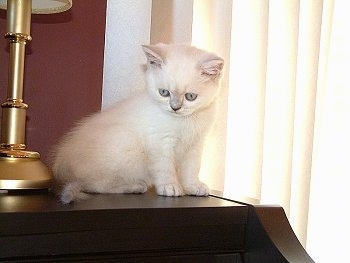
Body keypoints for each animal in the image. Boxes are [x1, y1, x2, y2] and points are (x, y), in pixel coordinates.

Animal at [52, 43, 224, 204]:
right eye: (164, 93)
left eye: (190, 96)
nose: (175, 107)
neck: (184, 121)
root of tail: (61, 172)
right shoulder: (159, 142)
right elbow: (165, 168)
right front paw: (170, 187)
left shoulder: (196, 144)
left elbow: (192, 168)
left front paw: (192, 186)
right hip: (126, 142)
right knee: (94, 185)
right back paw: (135, 186)